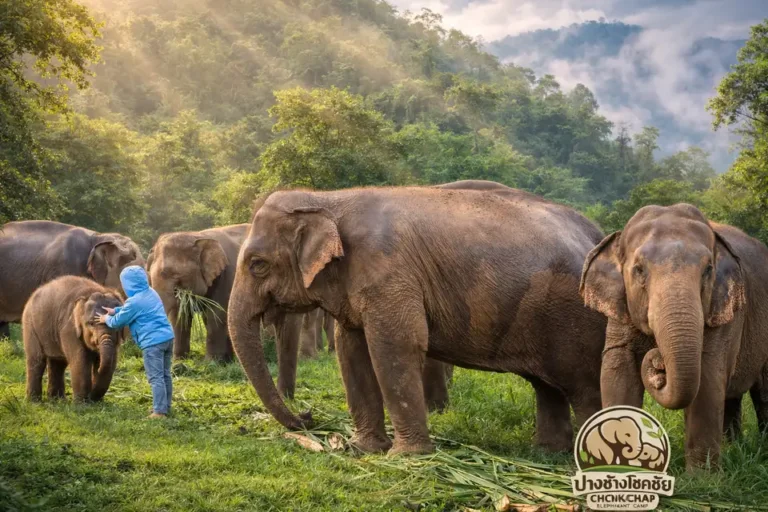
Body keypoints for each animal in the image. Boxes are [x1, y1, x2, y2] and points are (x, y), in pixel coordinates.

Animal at [227, 180, 607, 454]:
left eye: (257, 264)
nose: (307, 416)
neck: (328, 199)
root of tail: (596, 233)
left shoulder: (389, 271)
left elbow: (396, 345)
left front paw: (407, 457)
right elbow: (351, 348)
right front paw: (364, 449)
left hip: (576, 319)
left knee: (583, 387)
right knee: (547, 386)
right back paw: (547, 453)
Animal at [580, 203, 768, 469]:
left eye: (708, 270)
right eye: (639, 270)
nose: (659, 363)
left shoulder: (724, 313)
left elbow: (708, 376)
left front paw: (702, 476)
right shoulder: (621, 310)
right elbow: (617, 371)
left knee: (763, 394)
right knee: (732, 398)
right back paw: (734, 447)